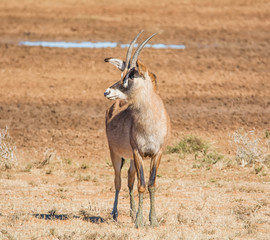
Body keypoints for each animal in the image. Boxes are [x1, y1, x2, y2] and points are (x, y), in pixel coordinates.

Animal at [104, 30, 170, 227]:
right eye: (122, 74)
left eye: (131, 76)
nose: (107, 92)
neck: (150, 120)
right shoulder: (138, 153)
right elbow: (142, 186)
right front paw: (140, 221)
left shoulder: (157, 153)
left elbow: (151, 184)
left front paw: (152, 220)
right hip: (116, 154)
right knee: (118, 181)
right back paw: (116, 213)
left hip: (131, 159)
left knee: (130, 180)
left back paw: (132, 212)